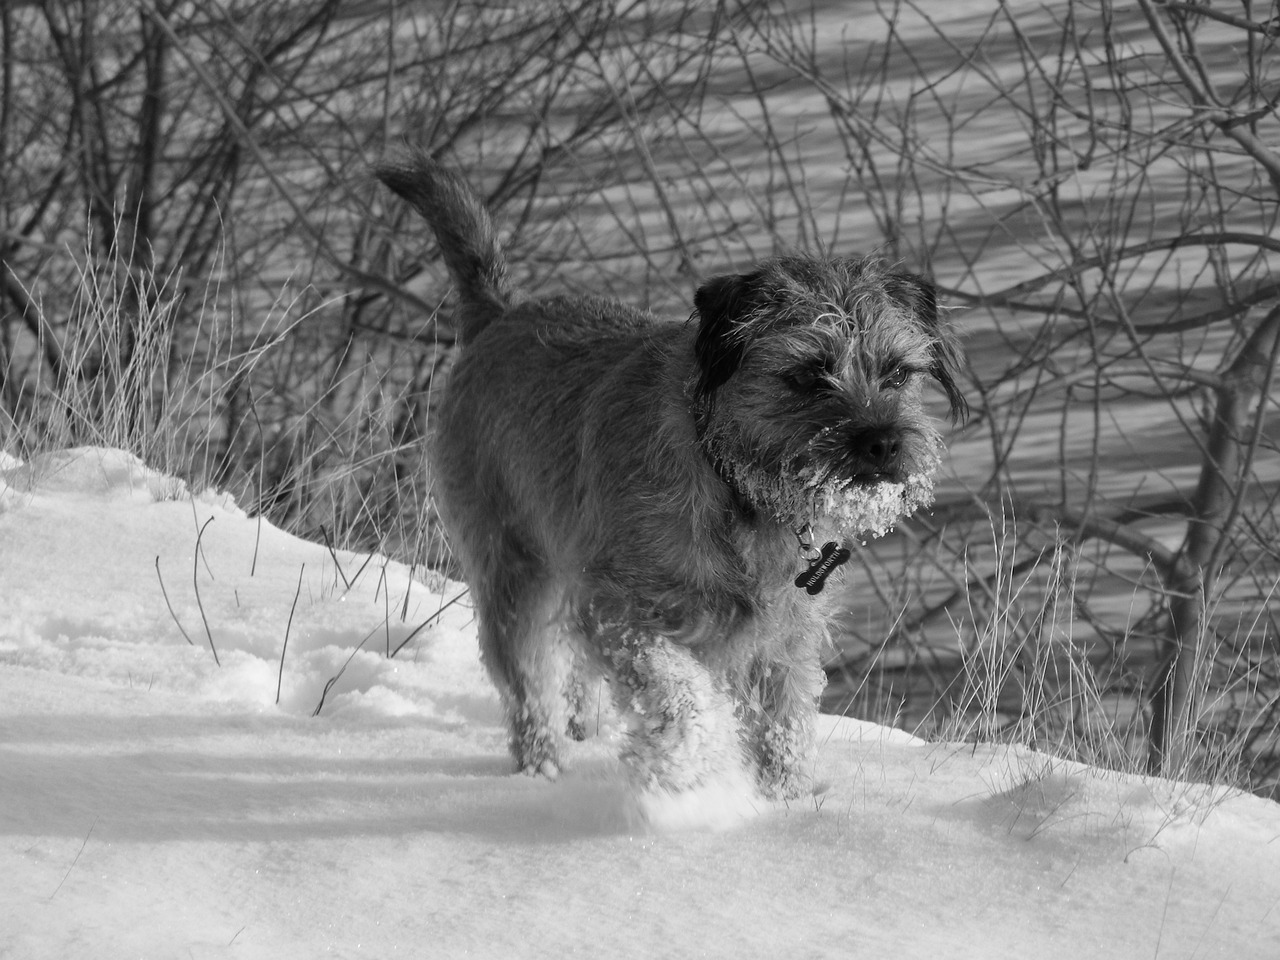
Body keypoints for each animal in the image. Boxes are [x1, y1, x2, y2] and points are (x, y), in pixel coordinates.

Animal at [373, 152, 962, 803]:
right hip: (512, 577)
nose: (883, 441)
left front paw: (788, 805)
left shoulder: (784, 641)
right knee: (528, 690)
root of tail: (498, 311)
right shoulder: (623, 611)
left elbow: (783, 728)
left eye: (897, 372)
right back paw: (543, 775)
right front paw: (683, 775)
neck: (733, 486)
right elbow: (678, 695)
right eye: (809, 374)